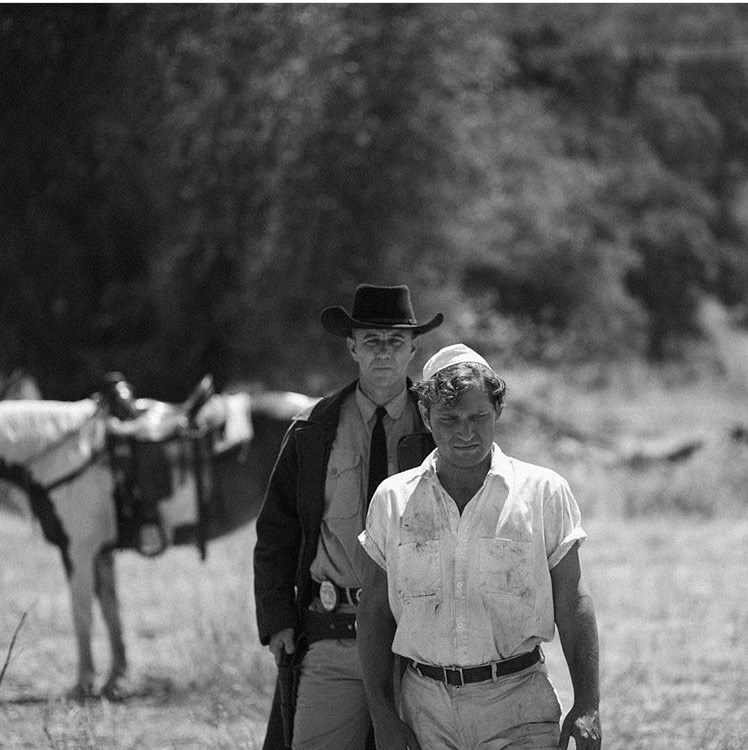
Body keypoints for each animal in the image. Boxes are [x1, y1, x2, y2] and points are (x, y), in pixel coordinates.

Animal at [0, 376, 317, 701]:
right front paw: (115, 678)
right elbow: (111, 612)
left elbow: (82, 615)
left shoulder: (78, 550)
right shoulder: (100, 553)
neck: (64, 456)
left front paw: (83, 684)